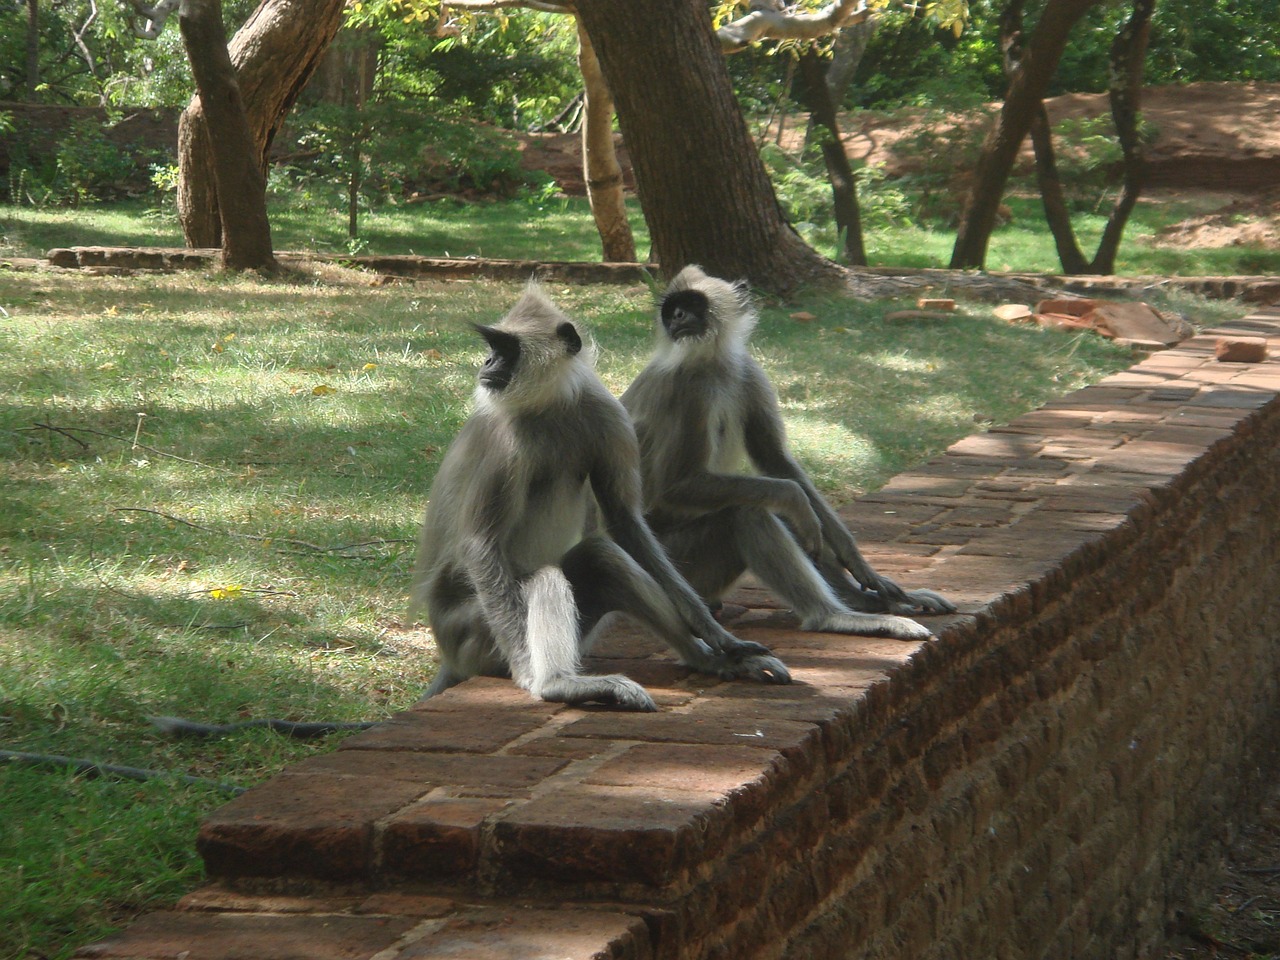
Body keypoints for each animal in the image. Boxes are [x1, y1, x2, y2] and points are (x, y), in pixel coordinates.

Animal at [409, 281, 788, 711]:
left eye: (505, 348)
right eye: (494, 347)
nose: (487, 362)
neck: (551, 406)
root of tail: (450, 655)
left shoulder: (606, 413)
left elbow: (624, 521)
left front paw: (717, 635)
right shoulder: (506, 439)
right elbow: (479, 543)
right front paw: (526, 671)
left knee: (604, 557)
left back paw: (712, 660)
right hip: (474, 635)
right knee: (545, 577)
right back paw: (556, 683)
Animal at [614, 267, 957, 642]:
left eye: (691, 304)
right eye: (671, 309)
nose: (676, 317)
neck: (713, 363)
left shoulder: (747, 371)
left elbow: (777, 462)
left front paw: (858, 562)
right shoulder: (688, 388)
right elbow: (679, 486)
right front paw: (795, 502)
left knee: (781, 511)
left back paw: (870, 601)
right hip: (686, 566)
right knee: (749, 513)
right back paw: (834, 616)